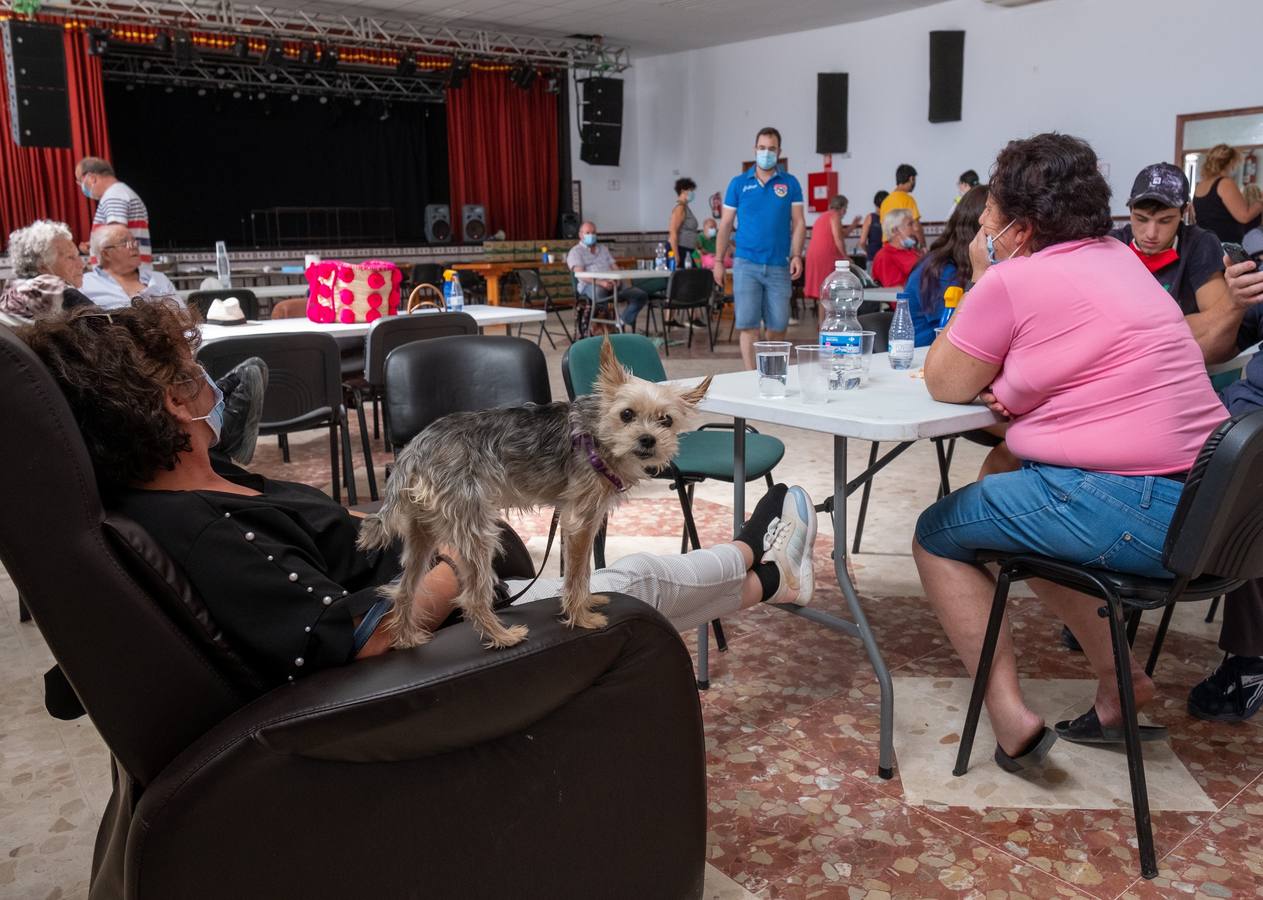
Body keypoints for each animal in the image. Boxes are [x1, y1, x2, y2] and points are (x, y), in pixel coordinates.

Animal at [356, 338, 712, 646]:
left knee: (404, 591)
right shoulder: (580, 521)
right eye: (627, 414)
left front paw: (587, 602)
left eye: (666, 421)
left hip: (422, 533)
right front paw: (581, 617)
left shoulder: (580, 520)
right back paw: (502, 637)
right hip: (476, 531)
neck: (598, 434)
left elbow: (582, 570)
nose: (648, 440)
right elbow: (576, 573)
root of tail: (414, 450)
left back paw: (406, 639)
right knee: (471, 597)